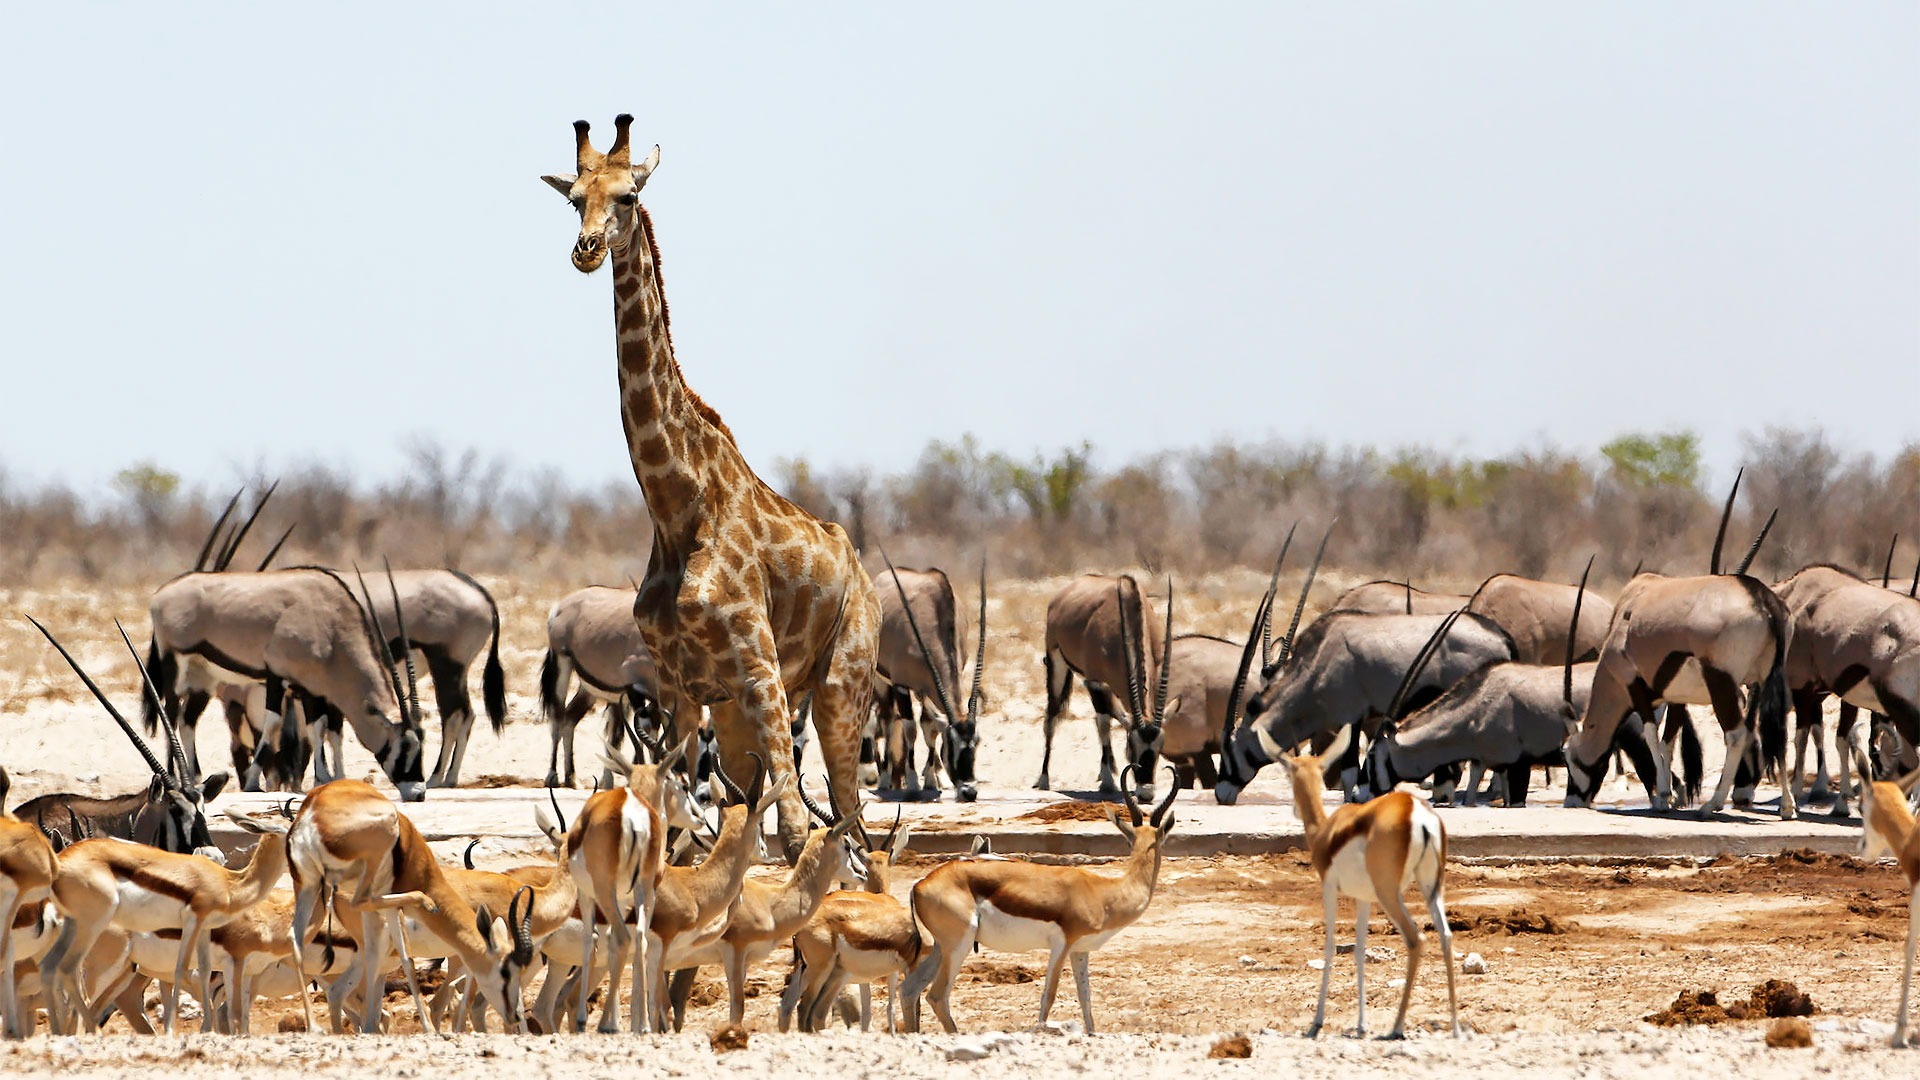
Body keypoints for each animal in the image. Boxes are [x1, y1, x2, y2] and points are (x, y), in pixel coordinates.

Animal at [541, 115, 883, 857]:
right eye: (573, 199)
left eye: (629, 196)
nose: (586, 250)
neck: (678, 509)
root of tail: (862, 575)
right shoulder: (679, 685)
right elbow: (687, 825)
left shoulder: (760, 668)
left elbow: (790, 828)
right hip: (735, 713)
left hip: (841, 684)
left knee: (853, 824)